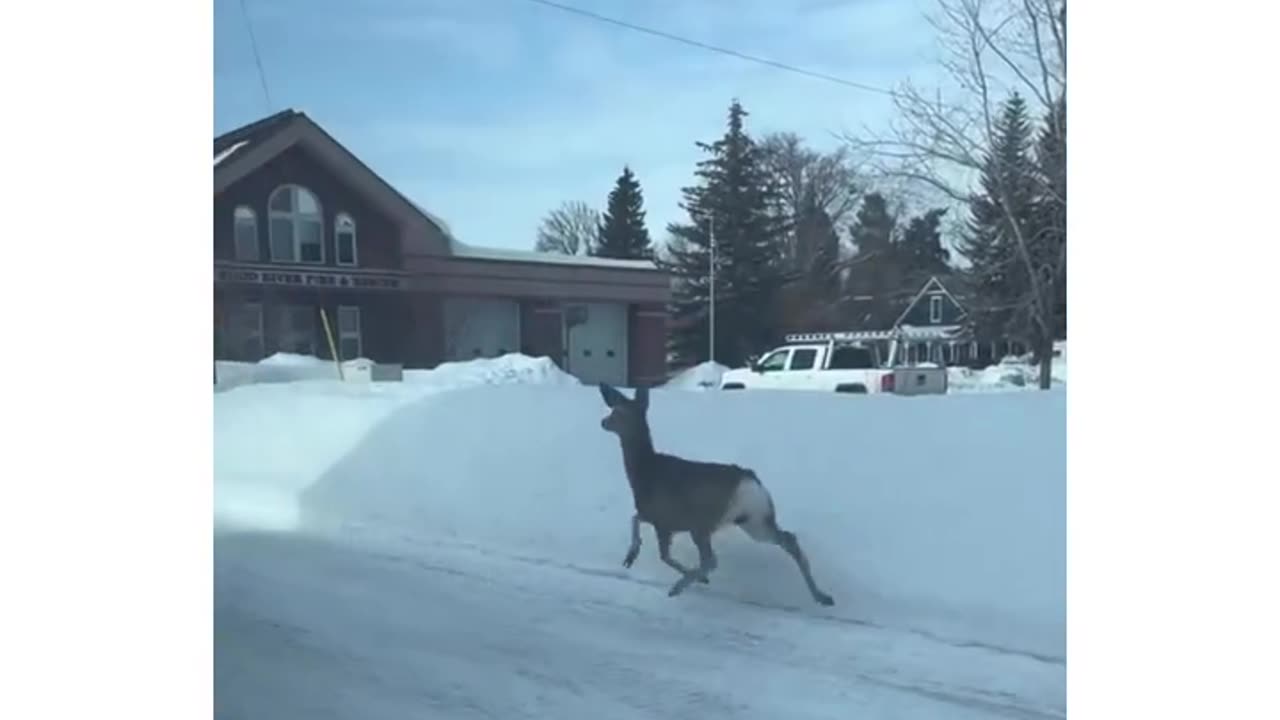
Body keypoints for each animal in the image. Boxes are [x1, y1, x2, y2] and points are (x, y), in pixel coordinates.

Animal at [598, 383, 835, 606]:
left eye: (617, 412)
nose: (603, 422)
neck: (644, 470)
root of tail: (749, 481)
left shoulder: (663, 520)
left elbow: (661, 552)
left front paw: (635, 558)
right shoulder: (662, 520)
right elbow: (637, 521)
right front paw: (630, 557)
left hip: (704, 523)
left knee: (711, 560)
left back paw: (679, 586)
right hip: (754, 520)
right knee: (788, 539)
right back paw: (822, 596)